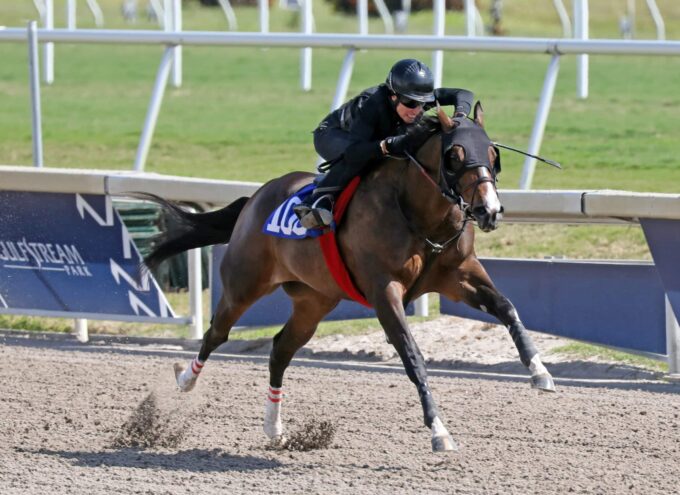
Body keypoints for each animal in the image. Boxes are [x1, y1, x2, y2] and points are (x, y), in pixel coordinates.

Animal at [143, 103, 552, 454]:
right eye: (455, 156)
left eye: (494, 155)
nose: (489, 210)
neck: (419, 213)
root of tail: (256, 198)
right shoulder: (384, 289)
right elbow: (412, 356)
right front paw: (440, 432)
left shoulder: (459, 274)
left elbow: (507, 308)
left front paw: (540, 373)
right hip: (244, 284)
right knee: (217, 332)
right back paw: (185, 380)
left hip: (314, 300)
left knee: (280, 350)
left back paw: (275, 429)